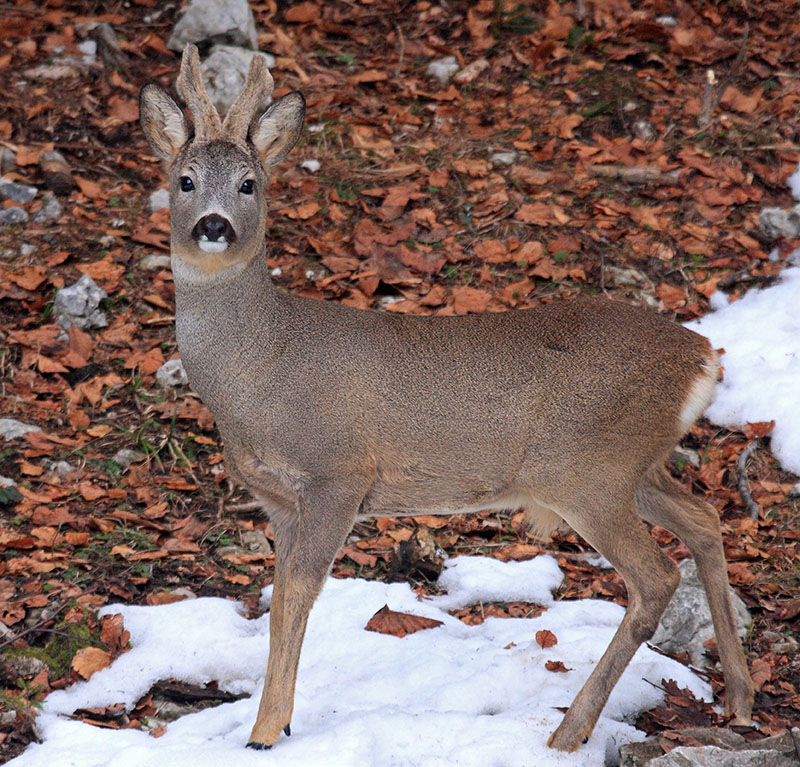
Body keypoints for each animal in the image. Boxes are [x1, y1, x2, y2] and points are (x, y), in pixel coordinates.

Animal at [141, 45, 752, 752]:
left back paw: (568, 732)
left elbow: (298, 597)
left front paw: (266, 731)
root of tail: (703, 358)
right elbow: (277, 602)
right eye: (184, 180)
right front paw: (275, 719)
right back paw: (741, 699)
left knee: (655, 578)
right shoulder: (279, 502)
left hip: (586, 470)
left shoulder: (338, 474)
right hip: (632, 466)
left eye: (249, 184)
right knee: (703, 519)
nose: (213, 226)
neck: (261, 369)